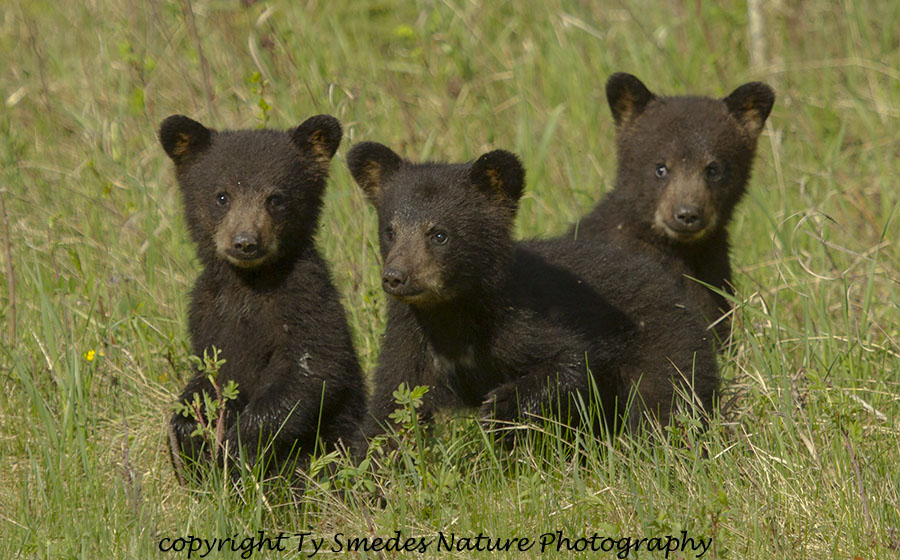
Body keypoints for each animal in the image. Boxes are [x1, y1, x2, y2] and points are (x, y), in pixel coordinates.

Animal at [159, 114, 364, 482]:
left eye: (276, 198)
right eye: (221, 196)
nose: (245, 242)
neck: (249, 284)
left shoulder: (306, 301)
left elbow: (313, 371)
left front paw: (237, 447)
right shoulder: (205, 312)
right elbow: (206, 374)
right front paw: (189, 437)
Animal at [346, 141, 717, 439]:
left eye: (439, 234)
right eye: (390, 230)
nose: (395, 277)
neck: (451, 313)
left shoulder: (522, 317)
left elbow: (572, 358)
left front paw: (501, 404)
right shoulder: (412, 336)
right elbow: (392, 403)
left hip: (666, 345)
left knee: (667, 404)